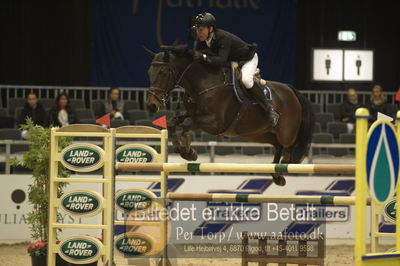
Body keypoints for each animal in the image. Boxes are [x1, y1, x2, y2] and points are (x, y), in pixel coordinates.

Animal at [142, 45, 314, 186]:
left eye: (163, 72)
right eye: (149, 72)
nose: (151, 105)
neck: (203, 82)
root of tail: (291, 89)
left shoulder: (215, 123)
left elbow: (187, 124)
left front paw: (188, 151)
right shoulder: (192, 114)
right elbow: (173, 122)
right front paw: (183, 149)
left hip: (286, 132)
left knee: (289, 146)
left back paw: (284, 165)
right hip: (256, 133)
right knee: (278, 145)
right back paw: (276, 175)